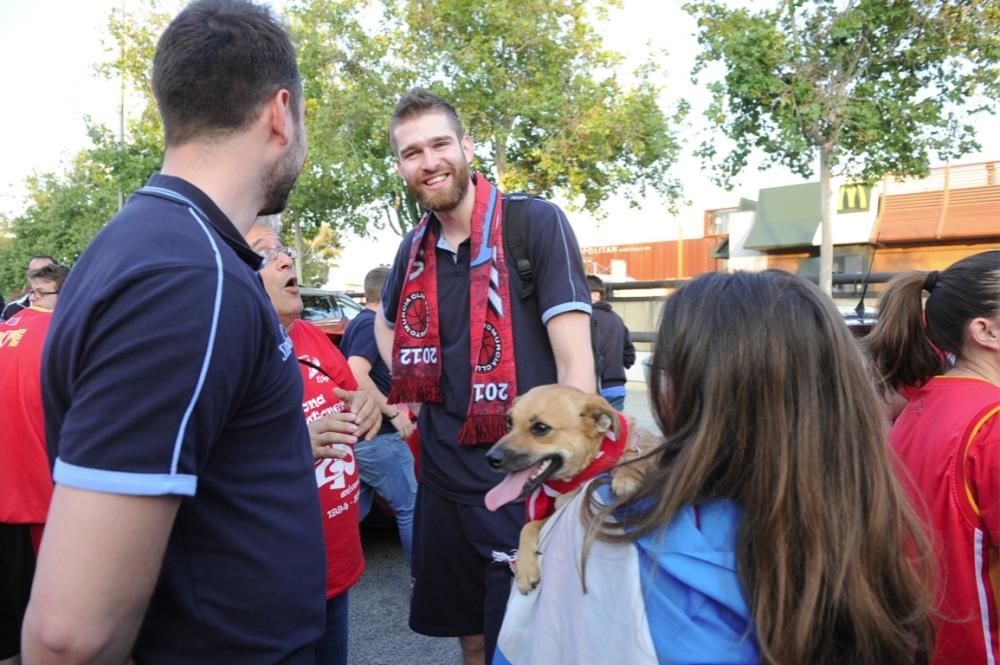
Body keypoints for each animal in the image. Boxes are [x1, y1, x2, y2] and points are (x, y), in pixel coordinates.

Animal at [482, 384, 652, 592]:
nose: (491, 459)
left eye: (540, 428)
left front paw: (627, 475)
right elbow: (528, 526)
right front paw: (524, 568)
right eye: (509, 422)